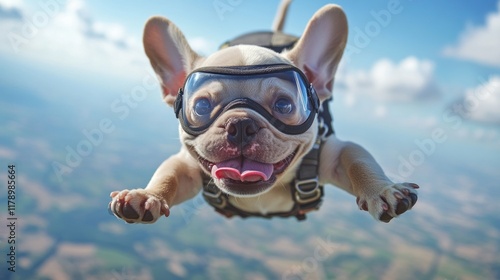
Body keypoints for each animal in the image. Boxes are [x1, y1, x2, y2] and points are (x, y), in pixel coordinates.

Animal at [109, 0, 418, 223]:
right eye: (201, 106)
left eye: (284, 105)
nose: (240, 124)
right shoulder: (187, 166)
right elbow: (169, 175)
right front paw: (147, 196)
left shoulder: (333, 154)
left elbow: (358, 162)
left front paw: (382, 190)